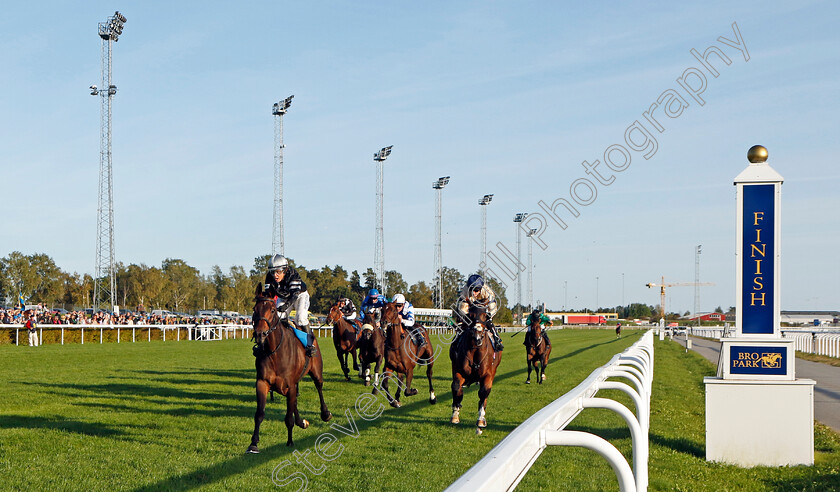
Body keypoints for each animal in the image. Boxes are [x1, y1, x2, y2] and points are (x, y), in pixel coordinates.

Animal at [246, 282, 332, 452]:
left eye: (272, 310)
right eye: (254, 309)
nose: (260, 334)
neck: (274, 351)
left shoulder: (290, 384)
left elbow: (288, 417)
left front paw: (290, 441)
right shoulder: (263, 382)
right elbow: (260, 413)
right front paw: (253, 443)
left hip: (316, 371)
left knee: (319, 387)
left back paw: (325, 413)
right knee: (294, 402)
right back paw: (302, 422)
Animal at [450, 306, 502, 436]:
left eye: (485, 316)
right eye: (471, 316)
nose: (477, 336)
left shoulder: (487, 375)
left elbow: (483, 393)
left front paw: (480, 420)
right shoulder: (458, 371)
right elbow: (456, 388)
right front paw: (455, 415)